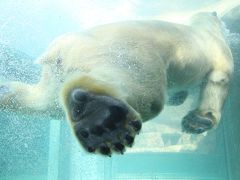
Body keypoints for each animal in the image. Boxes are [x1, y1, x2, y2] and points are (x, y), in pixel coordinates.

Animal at [0, 12, 232, 156]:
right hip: (126, 53)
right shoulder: (219, 52)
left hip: (55, 76)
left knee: (46, 102)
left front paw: (180, 100)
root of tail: (60, 48)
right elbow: (218, 81)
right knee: (146, 94)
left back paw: (6, 91)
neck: (203, 28)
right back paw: (102, 121)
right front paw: (197, 122)